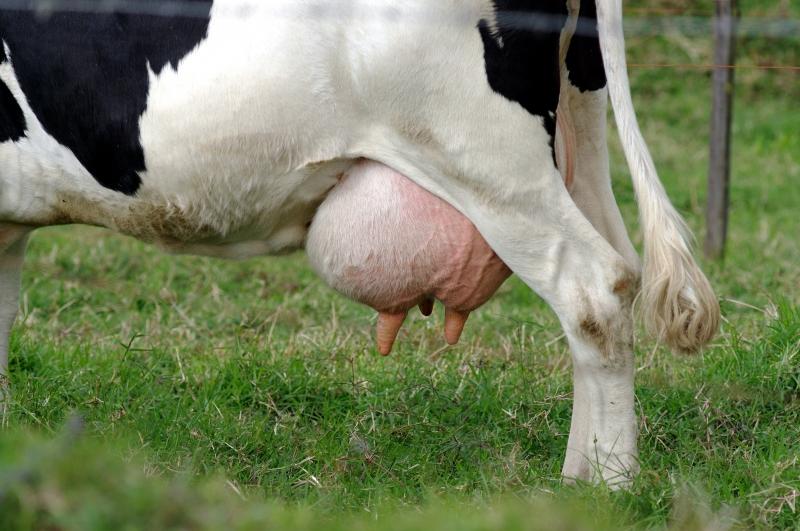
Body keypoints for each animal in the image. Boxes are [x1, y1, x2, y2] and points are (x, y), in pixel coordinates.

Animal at [0, 0, 719, 486]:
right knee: (623, 272)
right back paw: (578, 474)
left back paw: (609, 485)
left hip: (490, 159)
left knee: (593, 289)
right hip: (577, 133)